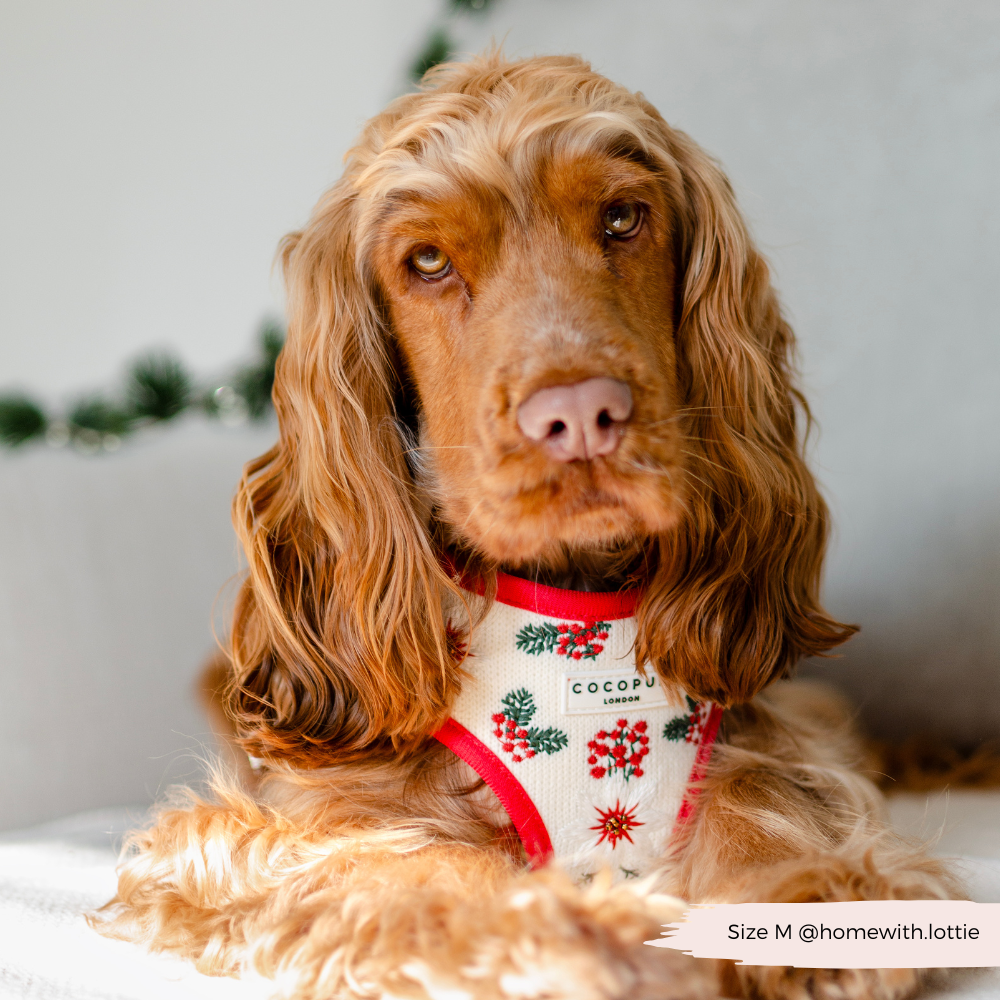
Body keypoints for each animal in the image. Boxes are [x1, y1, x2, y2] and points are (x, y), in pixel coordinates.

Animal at [94, 54, 960, 1000]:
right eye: (428, 261)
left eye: (622, 217)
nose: (581, 416)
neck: (569, 598)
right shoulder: (279, 830)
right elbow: (429, 869)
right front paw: (590, 934)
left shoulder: (764, 733)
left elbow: (767, 800)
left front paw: (802, 900)